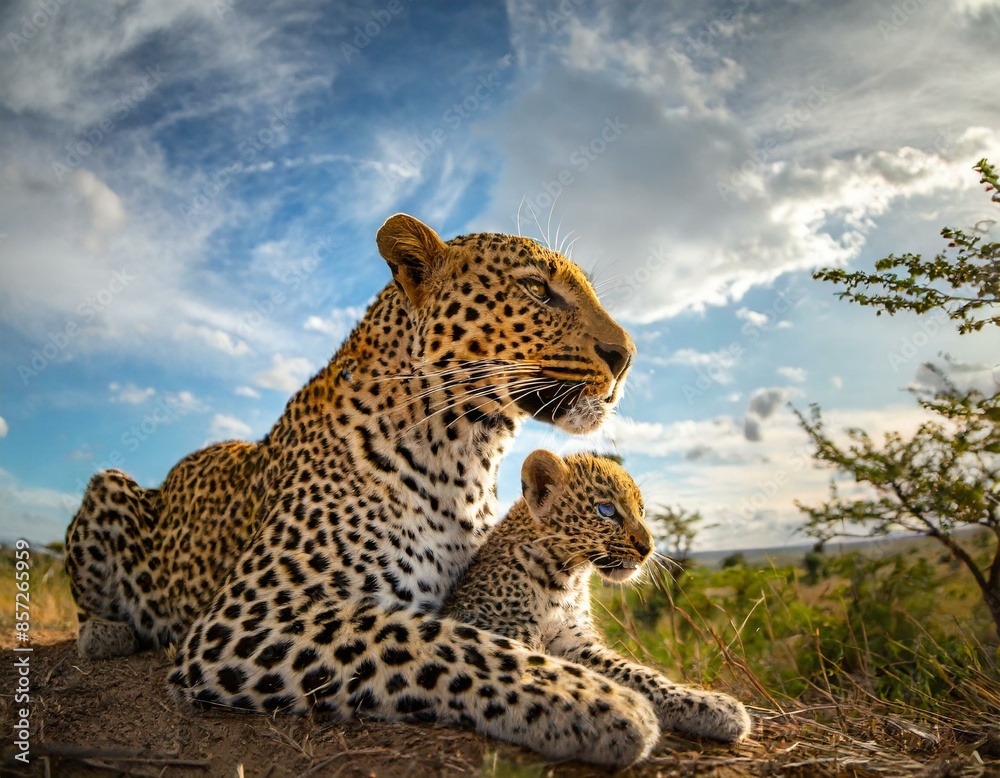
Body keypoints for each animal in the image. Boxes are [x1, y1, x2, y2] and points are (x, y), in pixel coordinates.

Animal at [66, 213, 659, 766]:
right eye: (536, 289)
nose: (626, 356)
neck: (467, 460)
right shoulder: (244, 618)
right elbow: (445, 642)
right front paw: (603, 702)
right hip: (109, 487)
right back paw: (105, 634)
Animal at [445, 449, 752, 744]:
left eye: (641, 510)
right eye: (606, 510)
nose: (648, 548)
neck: (563, 582)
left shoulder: (577, 642)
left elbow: (637, 672)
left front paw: (710, 705)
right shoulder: (501, 631)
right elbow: (538, 667)